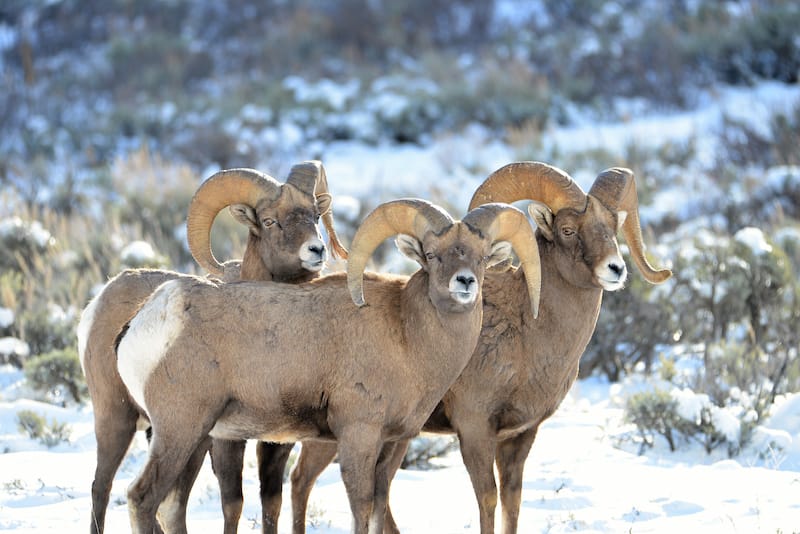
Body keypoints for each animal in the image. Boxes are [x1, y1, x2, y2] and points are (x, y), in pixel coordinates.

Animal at [77, 162, 346, 534]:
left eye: (315, 215)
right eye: (269, 221)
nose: (316, 251)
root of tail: (103, 297)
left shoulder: (278, 439)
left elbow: (271, 502)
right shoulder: (226, 439)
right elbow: (233, 503)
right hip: (120, 419)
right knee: (102, 487)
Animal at [115, 200, 540, 534]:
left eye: (481, 258)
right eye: (433, 255)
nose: (464, 282)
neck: (408, 336)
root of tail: (150, 317)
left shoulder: (391, 444)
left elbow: (378, 510)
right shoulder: (357, 436)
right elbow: (361, 509)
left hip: (194, 438)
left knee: (169, 506)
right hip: (181, 430)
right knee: (141, 498)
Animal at [284, 163, 672, 534]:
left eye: (612, 227)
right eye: (567, 230)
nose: (615, 269)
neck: (529, 335)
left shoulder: (521, 436)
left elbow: (512, 502)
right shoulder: (474, 428)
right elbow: (488, 499)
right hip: (339, 436)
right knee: (303, 480)